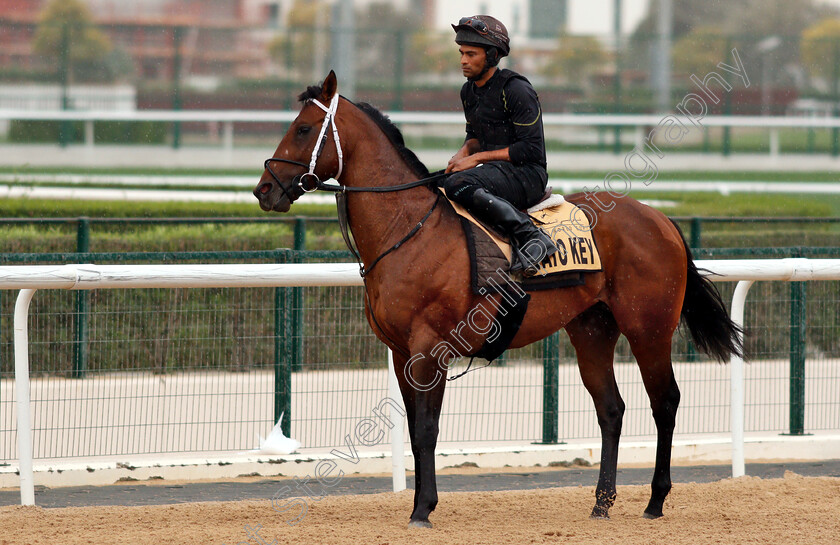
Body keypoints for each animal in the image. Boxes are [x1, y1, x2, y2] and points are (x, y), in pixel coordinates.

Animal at [254, 72, 740, 528]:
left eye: (303, 128)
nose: (264, 189)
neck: (408, 228)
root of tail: (661, 219)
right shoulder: (401, 353)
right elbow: (413, 430)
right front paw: (418, 505)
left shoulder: (430, 349)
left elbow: (427, 430)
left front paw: (423, 509)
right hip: (592, 329)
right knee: (611, 409)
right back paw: (601, 504)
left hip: (648, 329)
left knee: (665, 402)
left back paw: (656, 500)